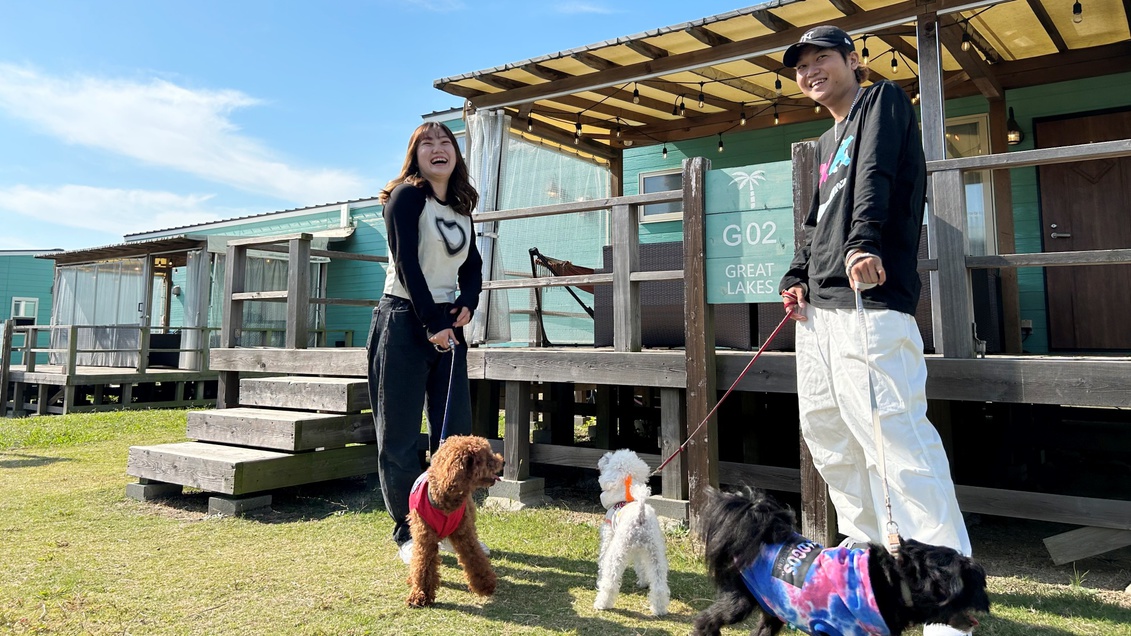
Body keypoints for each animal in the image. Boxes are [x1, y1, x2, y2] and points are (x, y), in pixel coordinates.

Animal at [687, 484, 990, 629]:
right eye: (973, 587)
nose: (983, 607)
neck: (896, 583)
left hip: (773, 605)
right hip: (741, 600)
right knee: (707, 619)